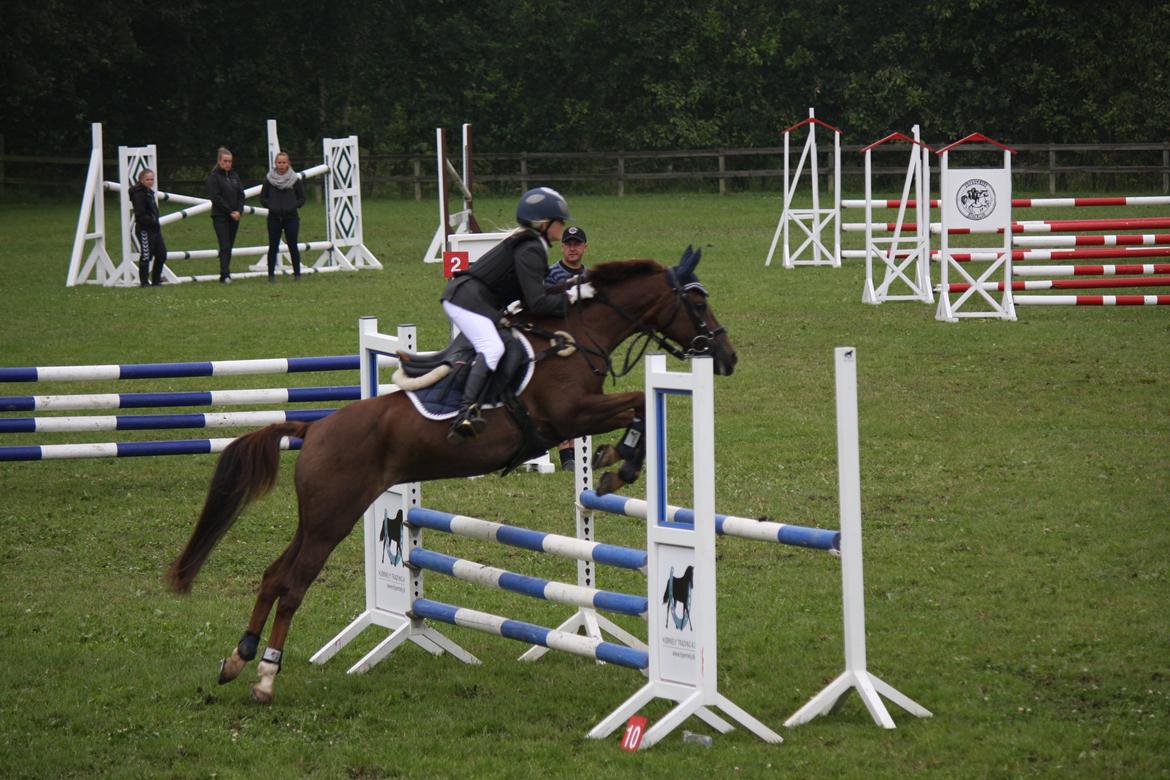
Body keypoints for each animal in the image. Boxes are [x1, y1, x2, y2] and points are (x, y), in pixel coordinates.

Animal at [165, 250, 736, 704]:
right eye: (697, 302)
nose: (726, 356)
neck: (575, 336)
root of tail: (317, 427)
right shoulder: (570, 415)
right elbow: (639, 403)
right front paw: (620, 464)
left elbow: (637, 405)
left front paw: (612, 463)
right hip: (332, 520)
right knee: (292, 586)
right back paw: (265, 677)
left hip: (319, 518)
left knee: (272, 576)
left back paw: (236, 660)